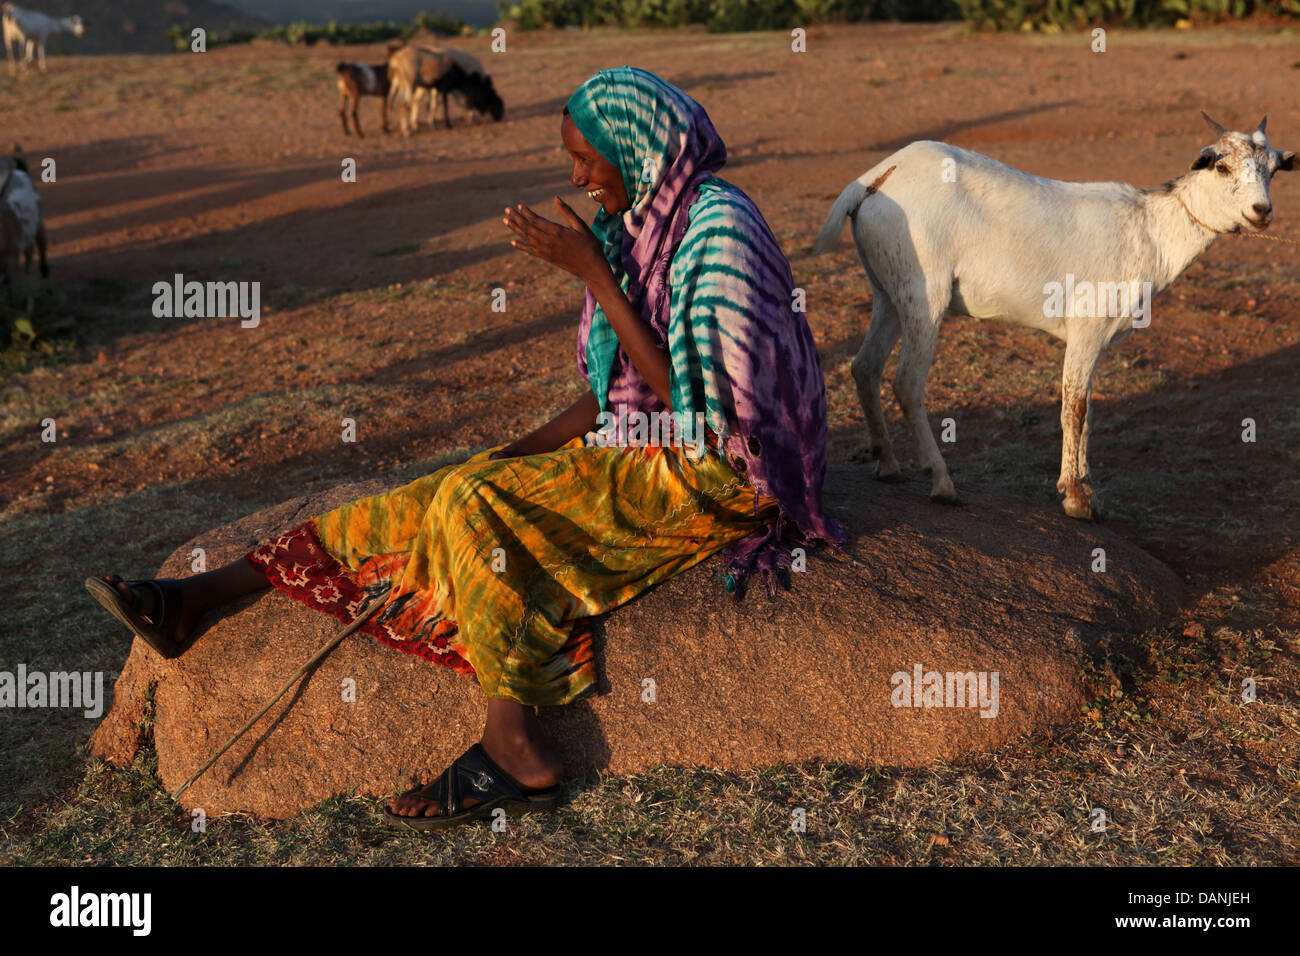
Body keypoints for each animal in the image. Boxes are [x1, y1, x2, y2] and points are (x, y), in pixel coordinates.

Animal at [811, 115, 1289, 528]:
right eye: (1222, 166)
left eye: (1273, 170)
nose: (1261, 211)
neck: (1151, 230)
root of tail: (876, 177)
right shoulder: (1087, 328)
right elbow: (1074, 409)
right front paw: (1076, 500)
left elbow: (1089, 410)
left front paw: (1084, 489)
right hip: (924, 291)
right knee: (907, 382)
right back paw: (942, 482)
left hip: (887, 292)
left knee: (865, 366)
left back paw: (887, 464)